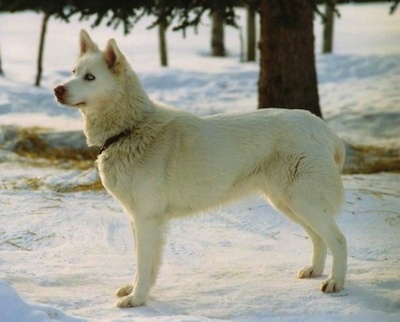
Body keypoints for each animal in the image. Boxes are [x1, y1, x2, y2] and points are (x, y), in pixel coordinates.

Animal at [54, 30, 346, 310]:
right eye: (73, 72)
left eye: (90, 77)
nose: (57, 89)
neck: (130, 129)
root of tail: (323, 128)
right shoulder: (136, 218)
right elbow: (143, 264)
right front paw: (135, 289)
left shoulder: (147, 218)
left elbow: (143, 263)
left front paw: (137, 299)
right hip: (288, 203)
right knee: (318, 238)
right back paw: (315, 270)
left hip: (304, 200)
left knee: (338, 239)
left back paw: (335, 282)